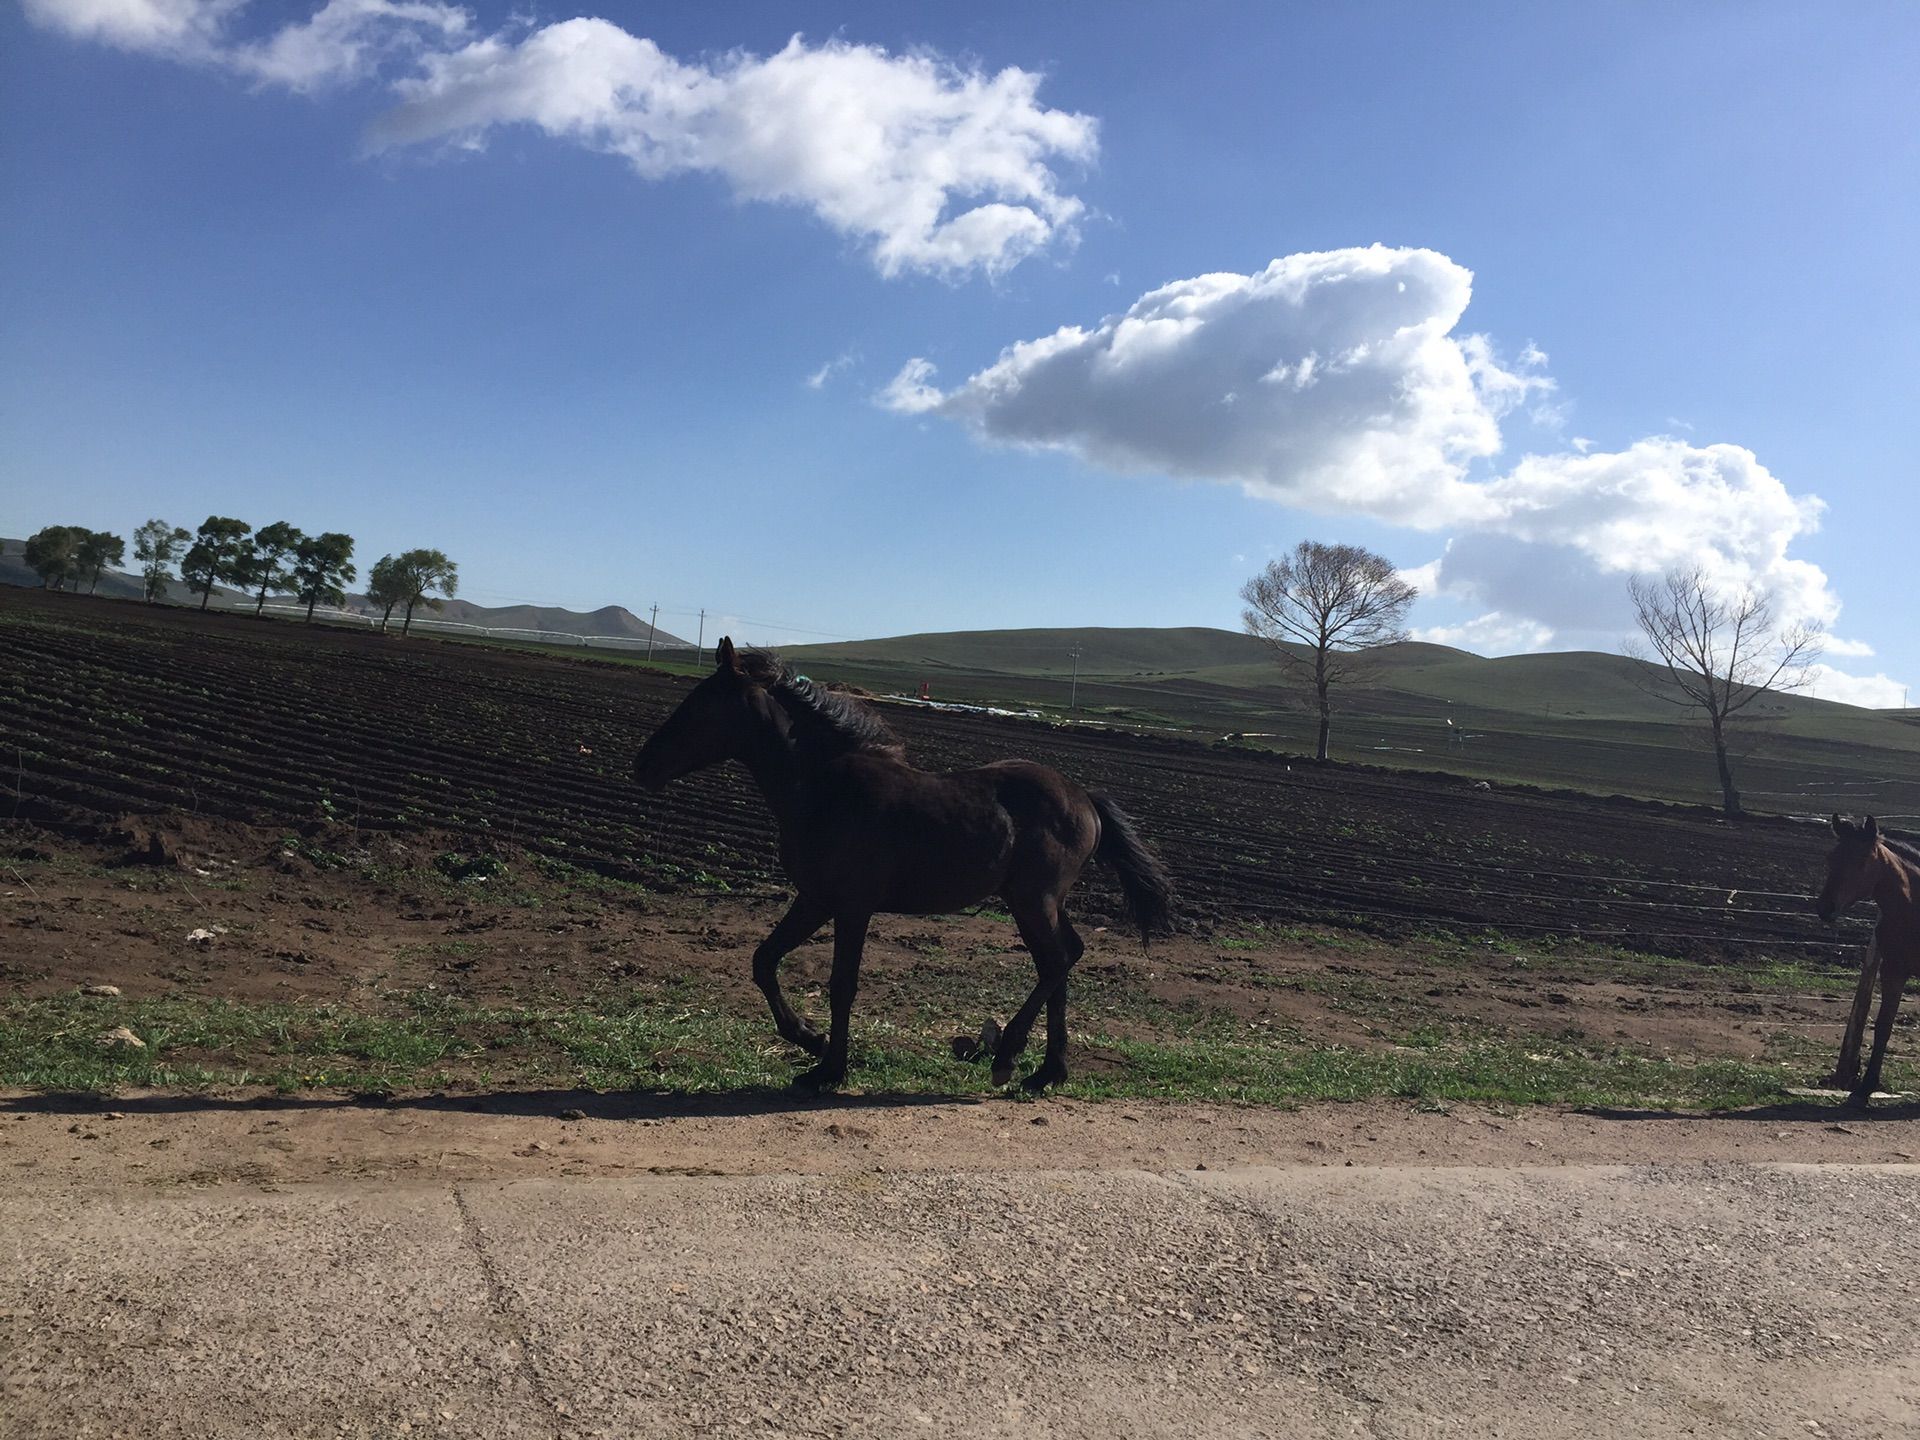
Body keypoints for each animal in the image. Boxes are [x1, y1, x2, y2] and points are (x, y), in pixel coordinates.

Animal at [633, 641, 1167, 1090]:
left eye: (701, 705)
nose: (643, 765)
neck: (823, 789)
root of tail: (1086, 799)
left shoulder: (852, 905)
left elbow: (842, 984)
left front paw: (829, 1069)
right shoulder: (815, 899)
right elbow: (764, 960)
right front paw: (809, 1038)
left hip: (1033, 900)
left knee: (1056, 960)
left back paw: (1008, 1058)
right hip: (1042, 902)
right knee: (1065, 957)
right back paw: (1048, 1072)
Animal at [1812, 817, 1904, 1113]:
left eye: (1863, 860)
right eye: (1831, 857)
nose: (1825, 908)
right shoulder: (1894, 972)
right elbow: (1883, 1028)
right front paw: (1863, 1090)